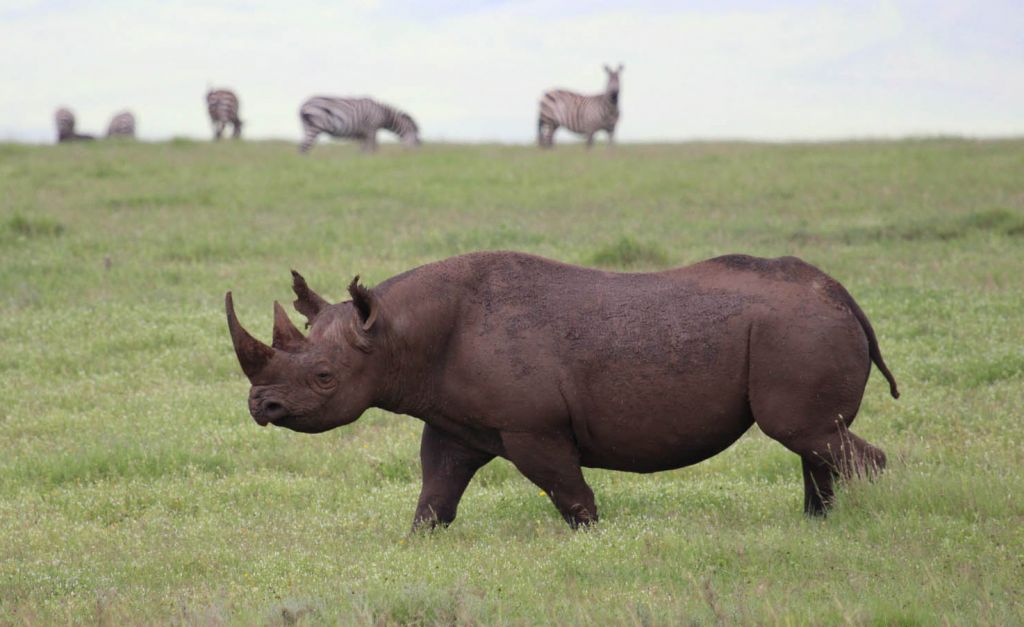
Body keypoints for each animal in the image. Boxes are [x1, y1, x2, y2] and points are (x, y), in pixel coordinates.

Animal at [226, 252, 899, 529]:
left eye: (323, 377)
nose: (262, 407)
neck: (394, 332)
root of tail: (842, 295)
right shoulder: (453, 422)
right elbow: (435, 492)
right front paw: (418, 544)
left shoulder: (533, 426)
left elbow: (569, 493)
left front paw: (595, 540)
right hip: (802, 327)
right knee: (812, 440)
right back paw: (817, 524)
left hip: (799, 330)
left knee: (807, 434)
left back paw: (873, 521)